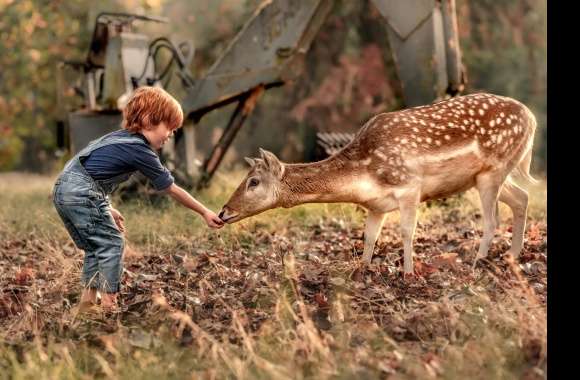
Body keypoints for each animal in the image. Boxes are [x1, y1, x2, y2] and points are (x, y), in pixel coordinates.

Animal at [219, 93, 540, 274]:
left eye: (253, 182)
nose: (223, 212)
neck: (364, 174)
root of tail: (532, 118)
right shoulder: (376, 205)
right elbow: (370, 237)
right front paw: (361, 271)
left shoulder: (409, 185)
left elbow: (407, 232)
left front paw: (408, 274)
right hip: (486, 175)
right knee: (522, 197)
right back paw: (512, 257)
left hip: (494, 169)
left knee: (492, 218)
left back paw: (477, 264)